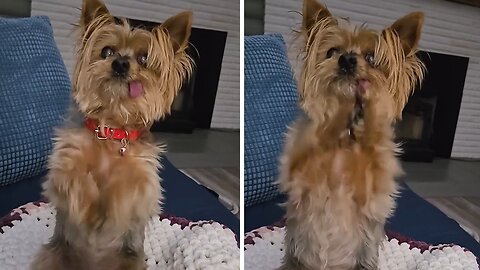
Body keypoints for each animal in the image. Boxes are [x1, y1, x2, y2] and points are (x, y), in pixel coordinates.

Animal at [31, 0, 192, 268]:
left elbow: (126, 186)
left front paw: (111, 207)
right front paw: (89, 206)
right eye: (107, 51)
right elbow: (76, 175)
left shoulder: (145, 181)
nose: (121, 63)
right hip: (52, 255)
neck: (112, 130)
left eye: (144, 58)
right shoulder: (63, 163)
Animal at [278, 0, 424, 270]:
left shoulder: (373, 190)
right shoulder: (297, 174)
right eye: (332, 51)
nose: (346, 59)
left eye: (371, 57)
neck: (344, 139)